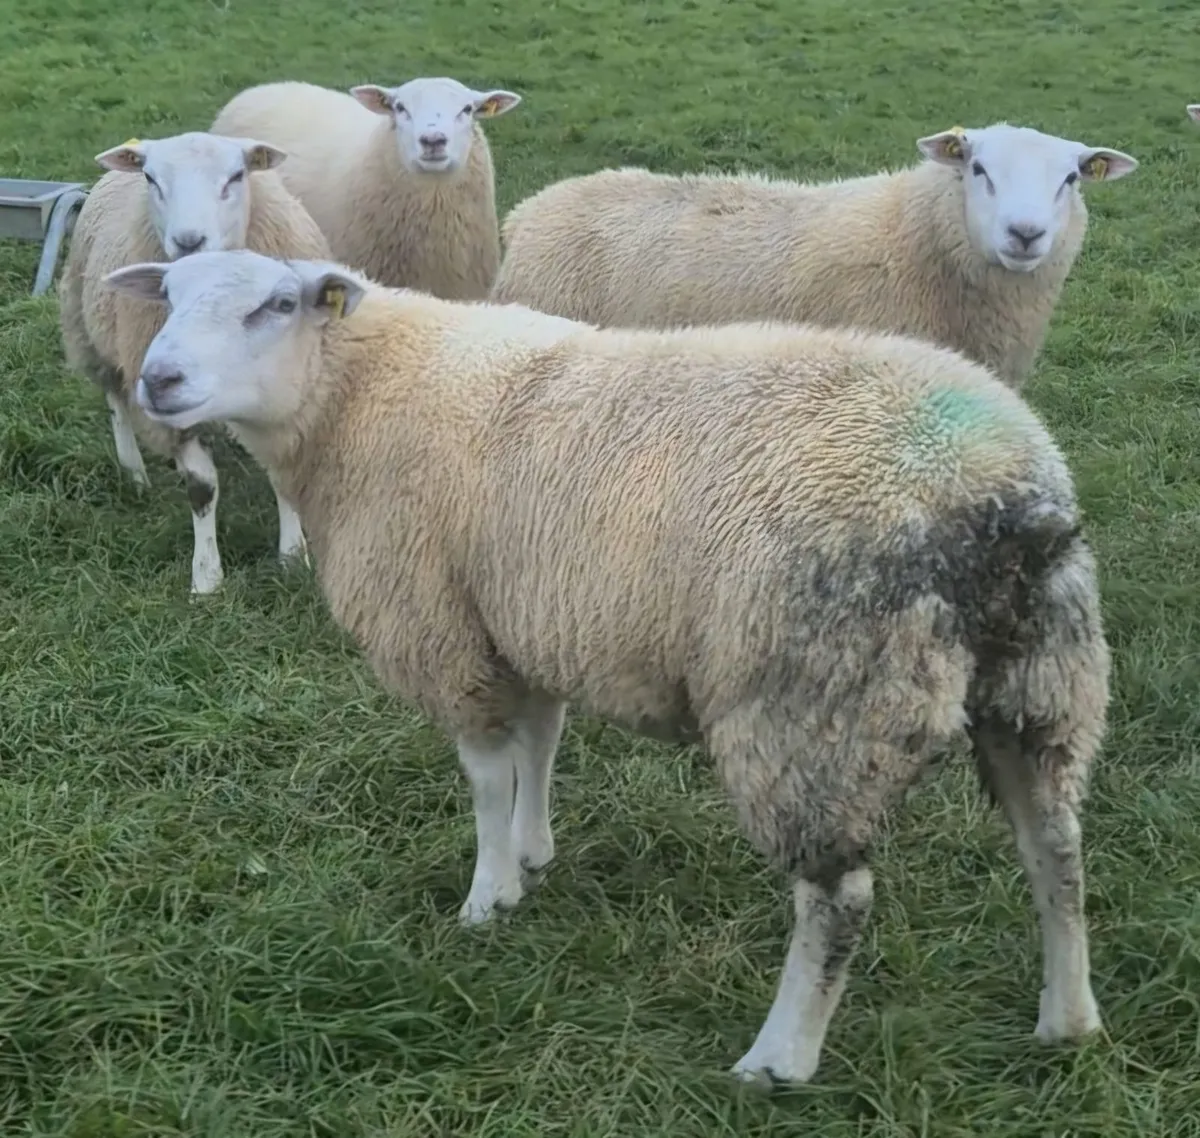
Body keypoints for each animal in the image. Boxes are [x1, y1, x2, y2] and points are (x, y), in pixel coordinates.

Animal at [59, 130, 333, 595]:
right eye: (151, 178)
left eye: (237, 175)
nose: (189, 242)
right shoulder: (168, 399)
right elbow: (202, 488)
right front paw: (206, 577)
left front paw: (294, 559)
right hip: (90, 331)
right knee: (116, 401)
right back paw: (134, 472)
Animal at [105, 247, 1110, 1085]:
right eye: (170, 296)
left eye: (275, 305)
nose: (157, 378)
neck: (360, 392)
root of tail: (1001, 494)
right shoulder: (525, 622)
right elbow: (540, 745)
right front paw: (533, 854)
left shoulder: (443, 630)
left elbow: (485, 776)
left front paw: (488, 896)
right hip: (1044, 683)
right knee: (1056, 848)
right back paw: (1067, 1021)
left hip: (815, 698)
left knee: (838, 898)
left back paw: (779, 1058)